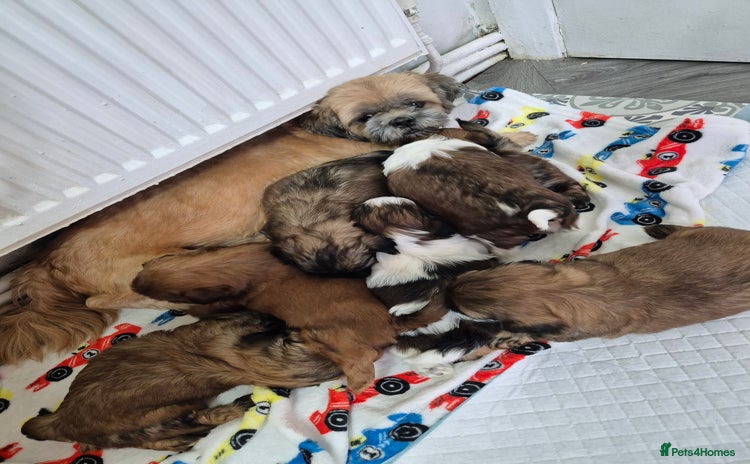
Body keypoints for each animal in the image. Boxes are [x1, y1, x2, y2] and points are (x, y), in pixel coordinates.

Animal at [0, 72, 466, 364]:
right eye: (365, 116)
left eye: (414, 102)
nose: (403, 120)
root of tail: (48, 259)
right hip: (135, 272)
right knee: (105, 299)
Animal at [131, 242, 396, 393]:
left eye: (166, 294)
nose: (133, 285)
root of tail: (390, 330)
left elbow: (201, 309)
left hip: (323, 336)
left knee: (365, 356)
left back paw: (358, 384)